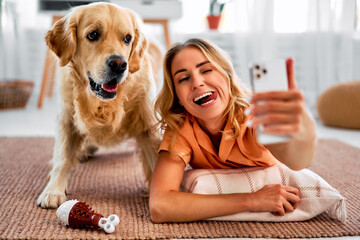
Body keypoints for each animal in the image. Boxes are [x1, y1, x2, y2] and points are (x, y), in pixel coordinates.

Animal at [37, 1, 160, 208]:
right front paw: (53, 191)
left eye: (127, 38)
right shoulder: (66, 119)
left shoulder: (148, 124)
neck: (103, 104)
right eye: (93, 35)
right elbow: (62, 157)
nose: (119, 64)